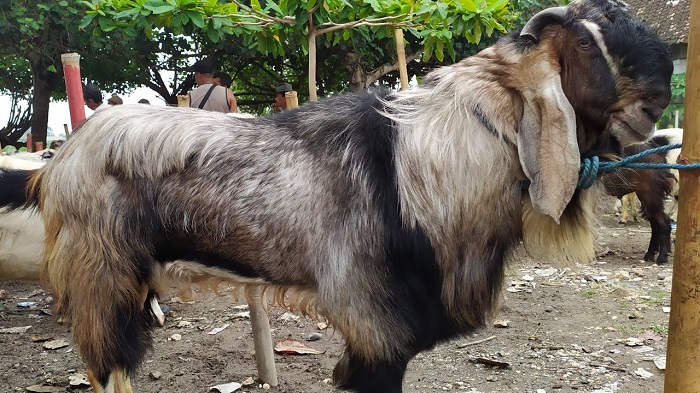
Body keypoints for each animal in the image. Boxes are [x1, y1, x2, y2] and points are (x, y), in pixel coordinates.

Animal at [0, 1, 672, 390]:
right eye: (585, 45)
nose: (659, 101)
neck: (426, 163)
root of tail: (54, 165)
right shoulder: (376, 325)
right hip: (103, 278)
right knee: (108, 366)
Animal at [600, 134, 680, 264]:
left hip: (650, 193)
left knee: (663, 221)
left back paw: (662, 257)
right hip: (645, 195)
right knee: (655, 223)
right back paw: (650, 254)